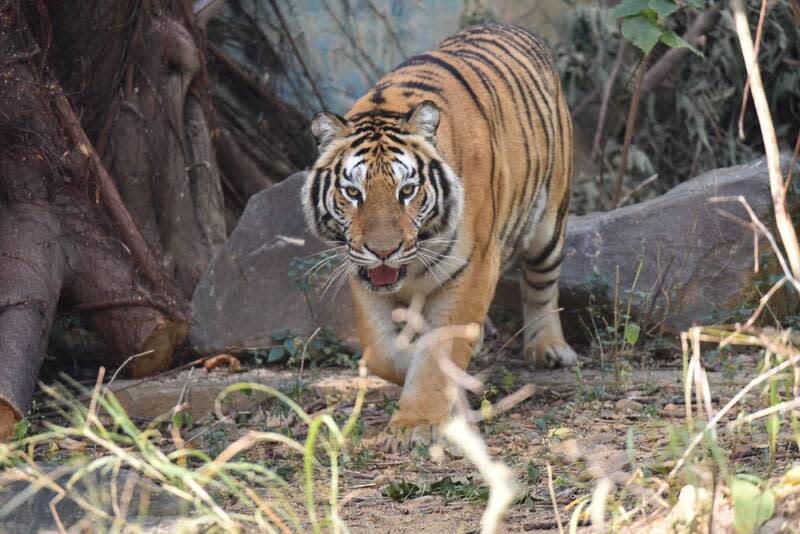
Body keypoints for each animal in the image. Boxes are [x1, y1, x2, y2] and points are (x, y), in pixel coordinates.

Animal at [302, 23, 576, 450]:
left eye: (407, 191)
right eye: (353, 192)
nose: (383, 251)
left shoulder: (473, 268)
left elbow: (437, 352)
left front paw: (414, 424)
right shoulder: (361, 275)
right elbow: (382, 351)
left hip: (549, 222)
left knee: (541, 284)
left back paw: (546, 346)